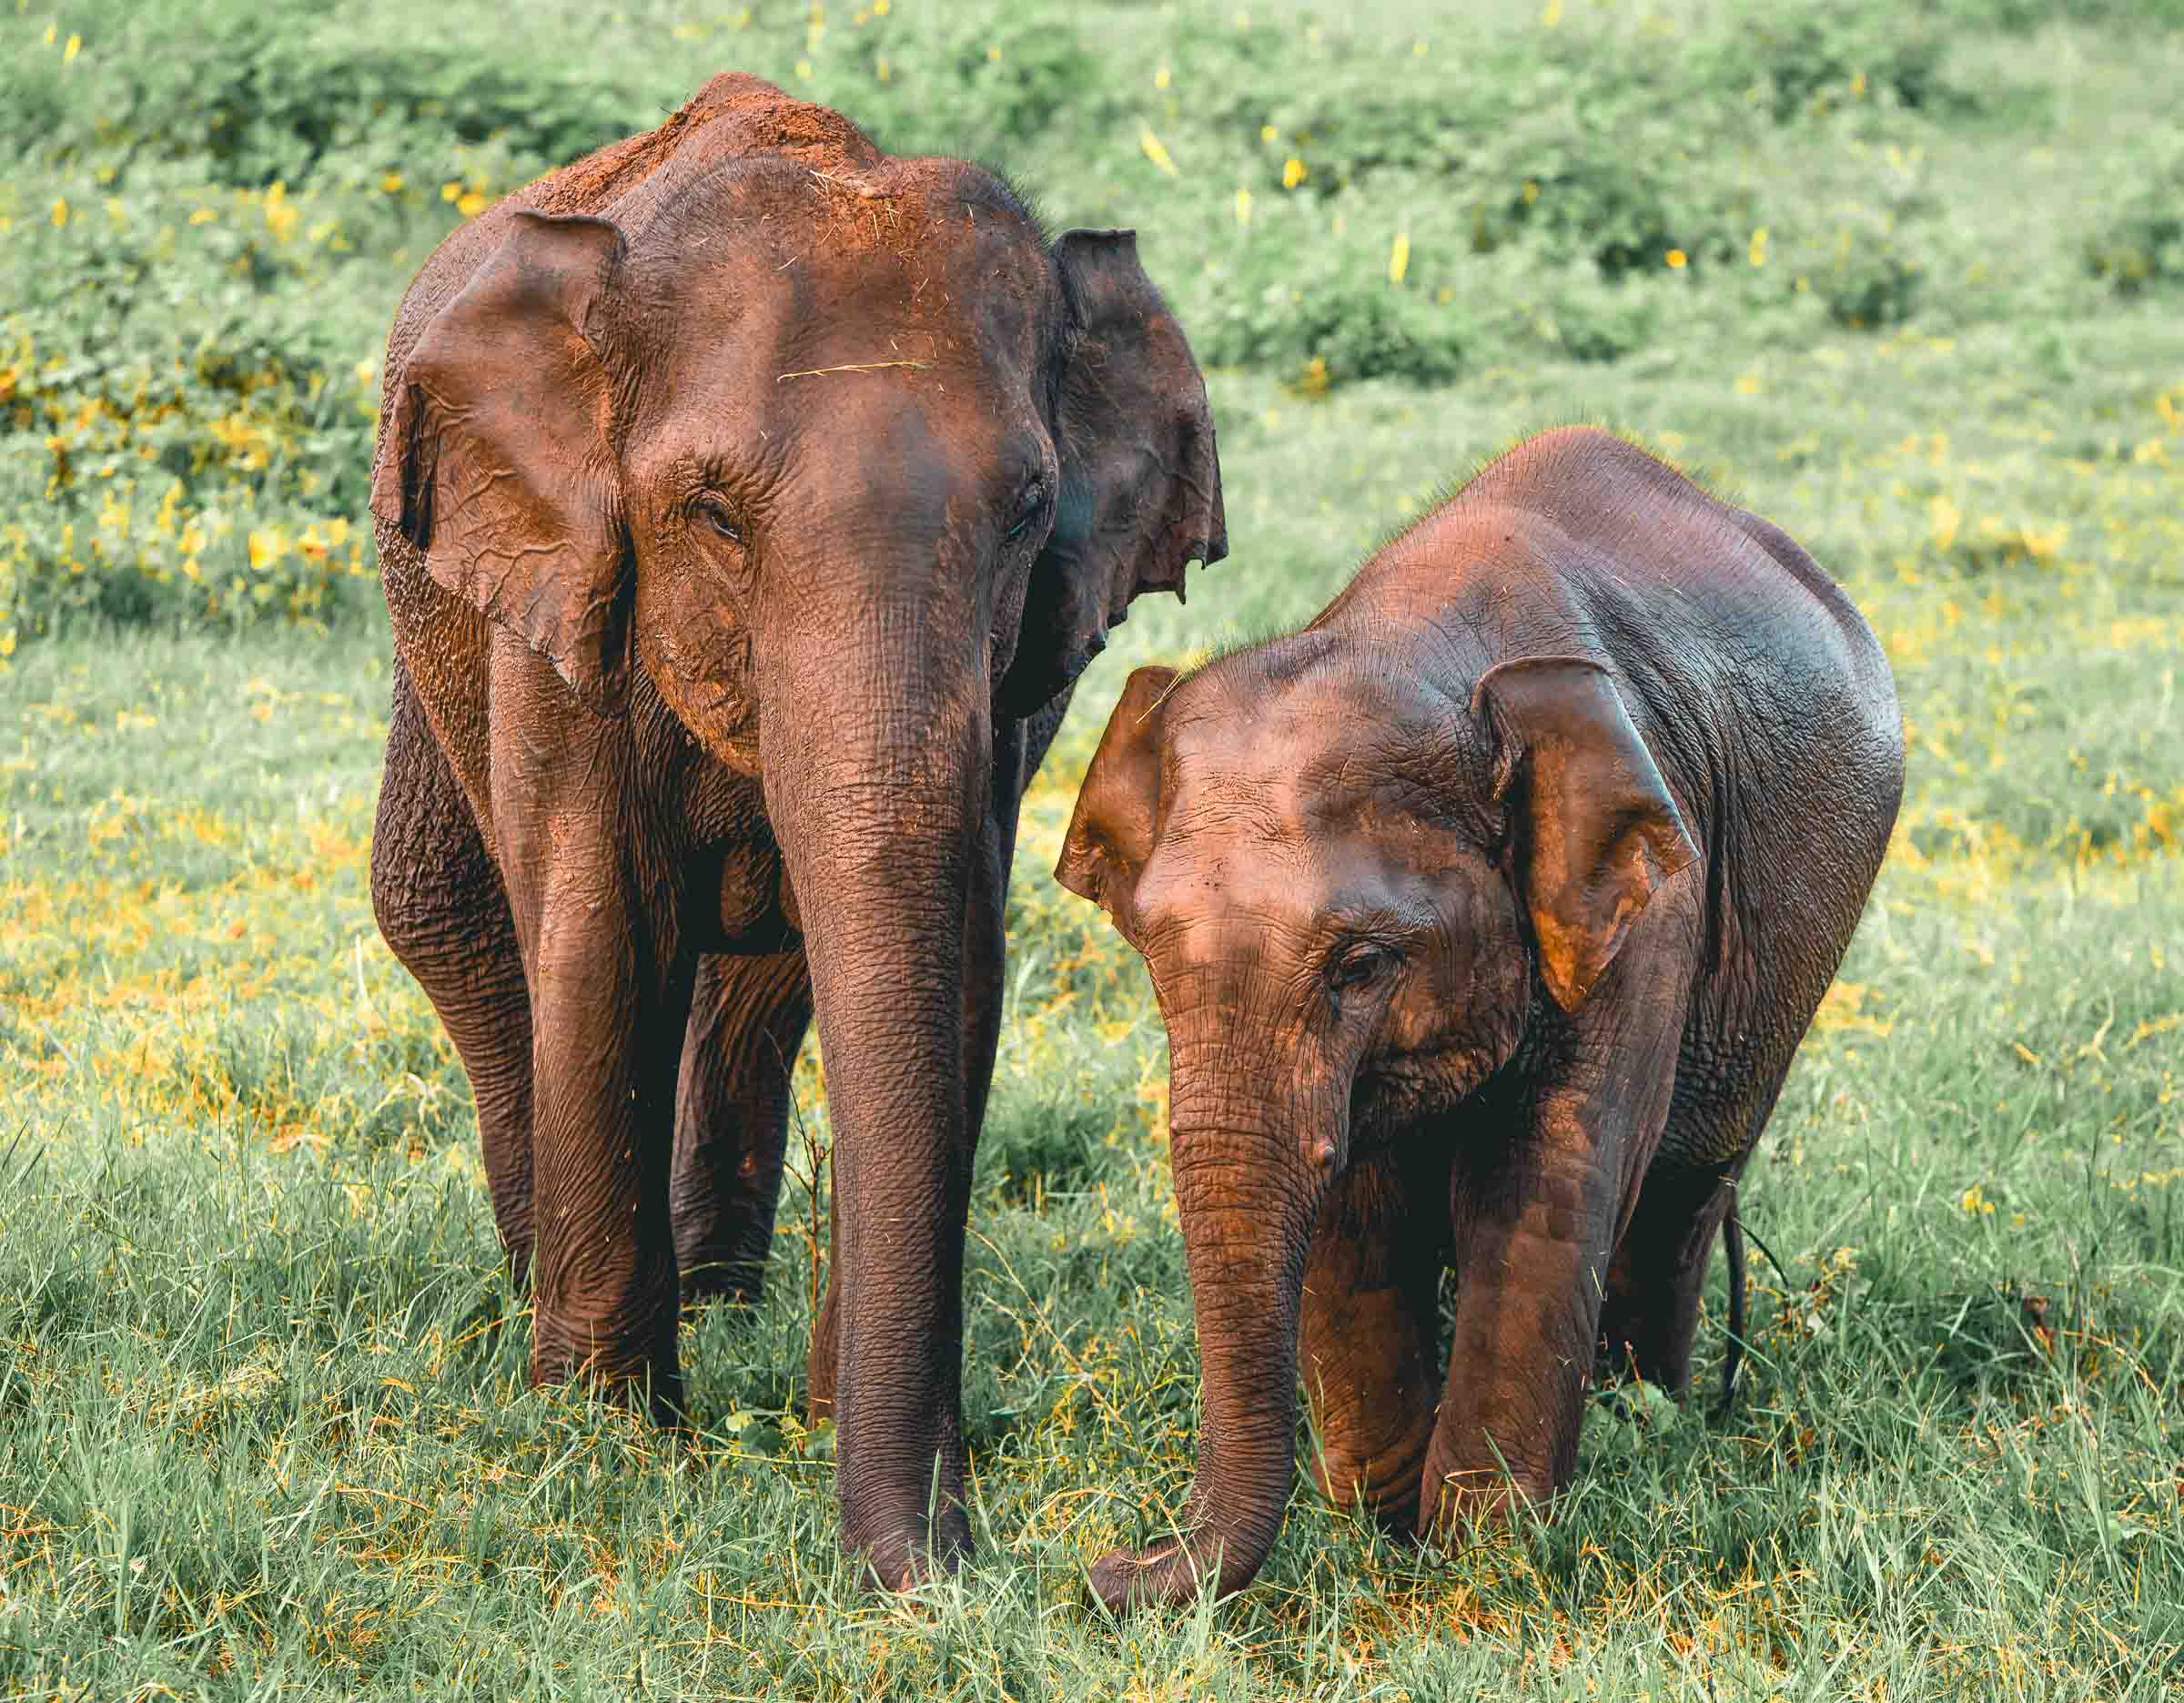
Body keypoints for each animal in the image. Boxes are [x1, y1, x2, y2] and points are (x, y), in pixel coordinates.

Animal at [364, 66, 1223, 1580]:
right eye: (709, 512)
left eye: (1031, 508)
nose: (953, 1560)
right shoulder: (569, 599)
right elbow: (603, 930)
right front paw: (610, 1439)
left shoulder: (1007, 693)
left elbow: (952, 952)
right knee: (450, 919)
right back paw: (551, 1292)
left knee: (760, 976)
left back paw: (724, 1298)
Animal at [1057, 425, 1896, 1607]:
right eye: (1153, 959)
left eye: (1362, 965)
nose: (1105, 1560)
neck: (1423, 651)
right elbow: (1356, 1201)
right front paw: (1384, 1527)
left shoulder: (1651, 907)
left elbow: (1542, 1184)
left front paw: (1476, 1562)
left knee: (1684, 1191)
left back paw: (1653, 1417)